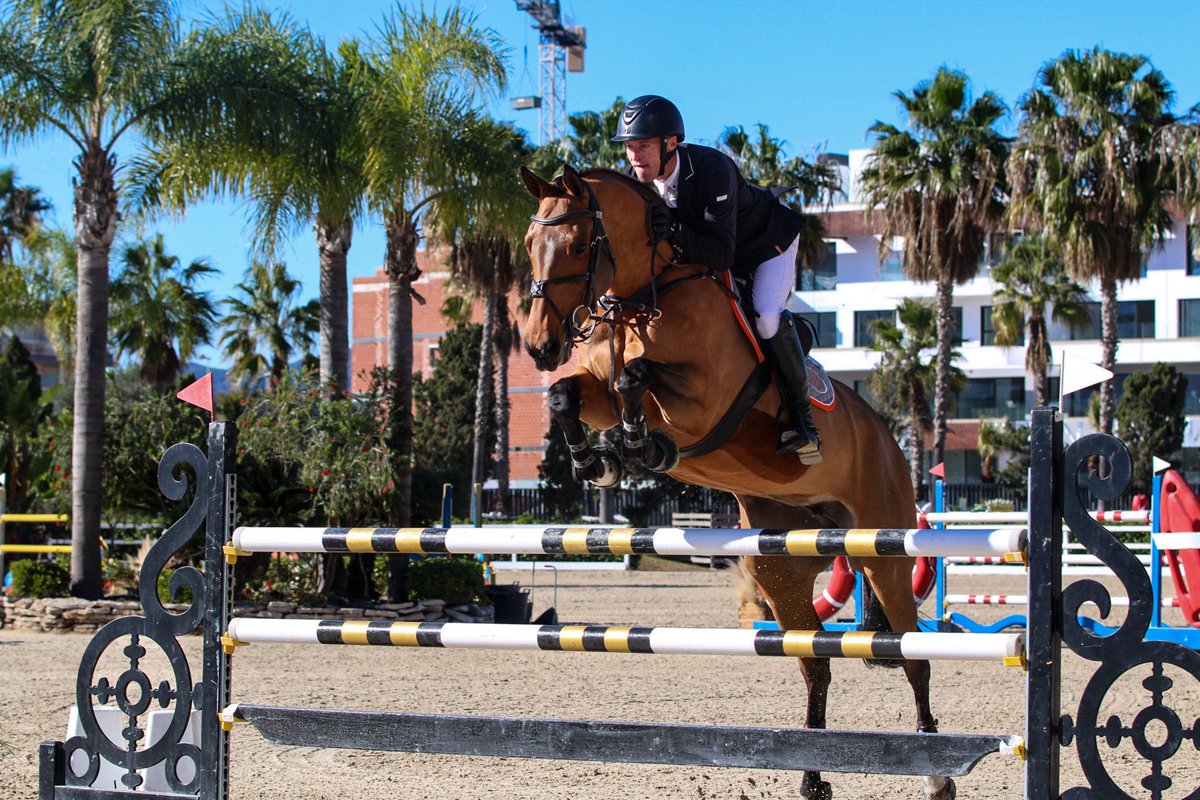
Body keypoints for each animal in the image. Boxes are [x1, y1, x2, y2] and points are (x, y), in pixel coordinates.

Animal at [519, 164, 952, 800]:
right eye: (529, 243)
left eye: (576, 245)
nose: (539, 345)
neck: (646, 296)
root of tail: (890, 441)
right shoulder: (594, 387)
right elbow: (567, 393)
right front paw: (595, 459)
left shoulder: (705, 401)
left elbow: (635, 377)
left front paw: (640, 445)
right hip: (781, 563)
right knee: (815, 662)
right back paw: (814, 779)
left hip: (884, 553)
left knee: (915, 656)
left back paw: (936, 772)